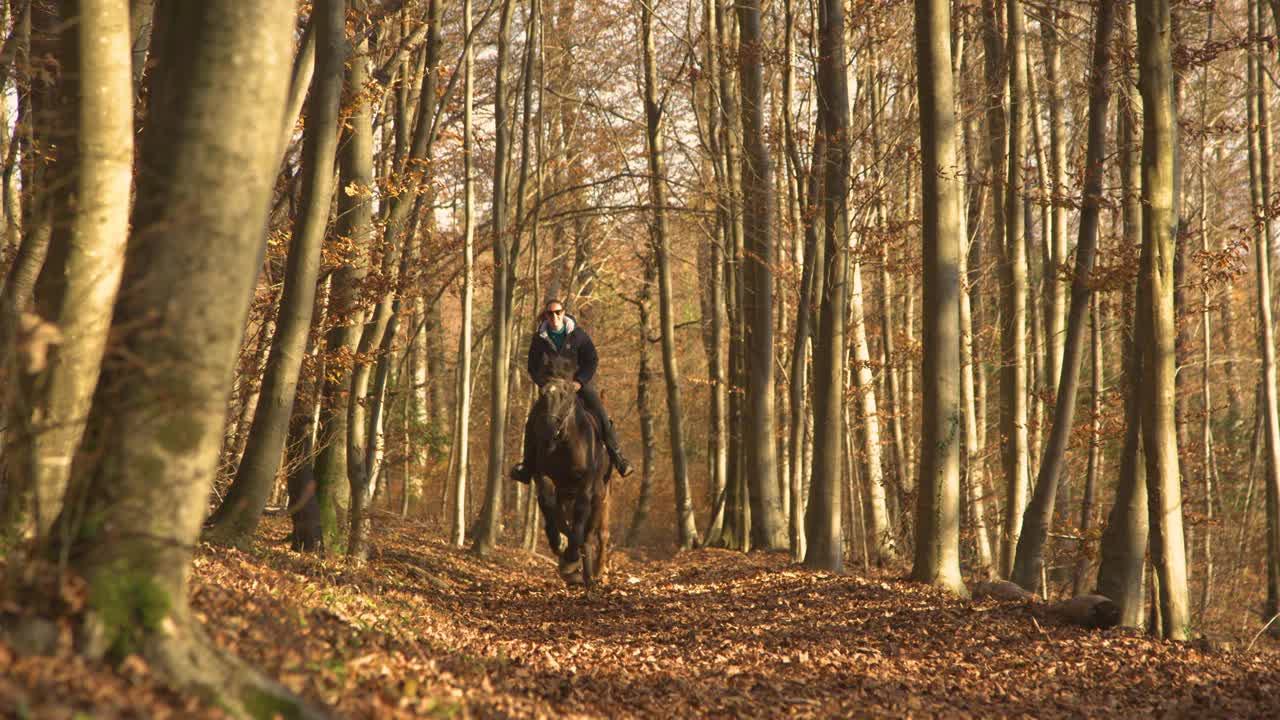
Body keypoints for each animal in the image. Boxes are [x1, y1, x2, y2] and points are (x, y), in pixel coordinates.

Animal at [527, 351, 611, 586]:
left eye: (565, 396)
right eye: (543, 394)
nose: (547, 430)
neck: (564, 442)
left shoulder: (588, 484)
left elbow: (582, 518)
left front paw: (573, 556)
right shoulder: (545, 477)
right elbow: (550, 507)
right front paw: (561, 548)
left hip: (600, 495)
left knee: (596, 533)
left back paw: (593, 570)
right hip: (567, 493)